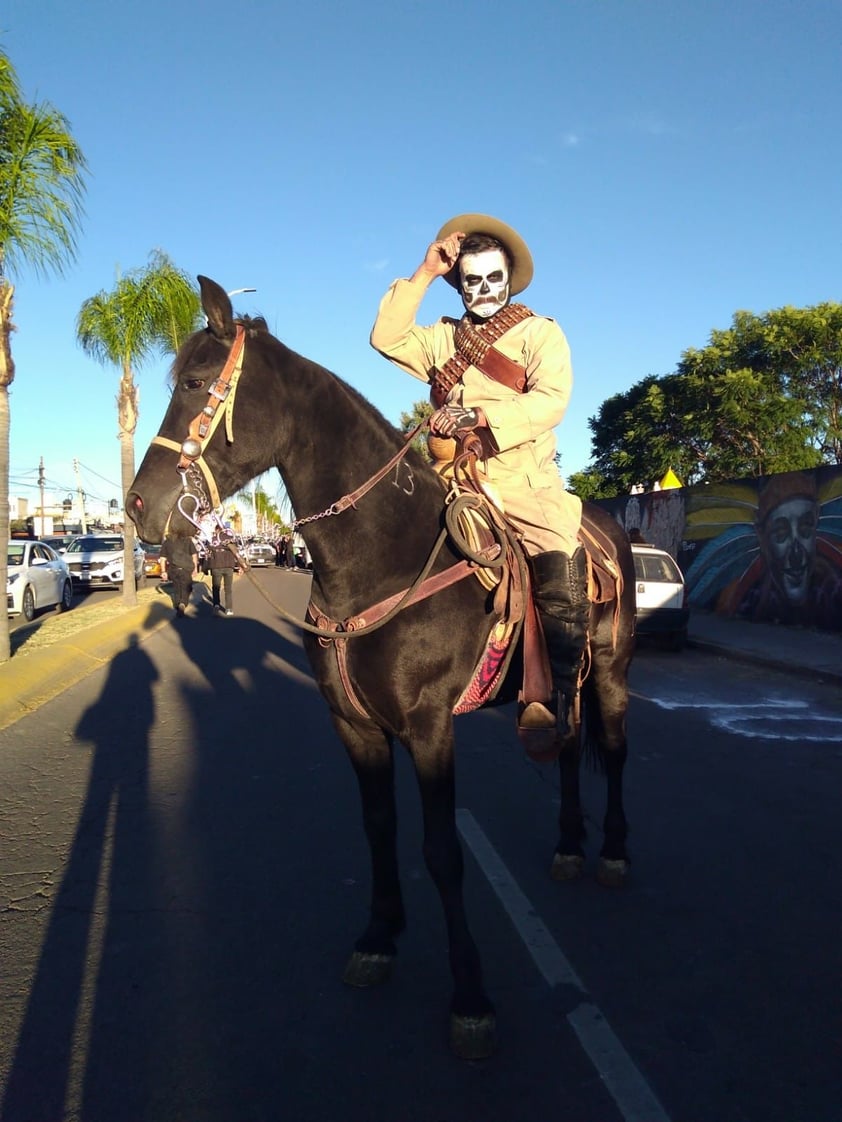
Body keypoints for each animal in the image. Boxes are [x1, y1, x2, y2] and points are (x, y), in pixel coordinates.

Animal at [128, 273, 637, 1059]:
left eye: (191, 383)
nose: (137, 507)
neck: (379, 561)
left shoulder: (429, 728)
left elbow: (443, 850)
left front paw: (470, 996)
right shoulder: (354, 725)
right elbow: (377, 826)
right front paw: (378, 936)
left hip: (611, 670)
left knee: (610, 749)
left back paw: (610, 851)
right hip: (564, 682)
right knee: (568, 737)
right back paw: (569, 843)